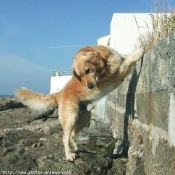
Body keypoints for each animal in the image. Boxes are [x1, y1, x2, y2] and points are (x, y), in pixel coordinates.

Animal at [15, 45, 144, 161]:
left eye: (87, 70)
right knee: (65, 137)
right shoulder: (118, 74)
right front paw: (140, 52)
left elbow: (125, 57)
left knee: (72, 135)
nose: (90, 87)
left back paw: (79, 148)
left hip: (84, 118)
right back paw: (69, 155)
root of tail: (59, 93)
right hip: (71, 118)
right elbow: (128, 61)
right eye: (80, 76)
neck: (106, 61)